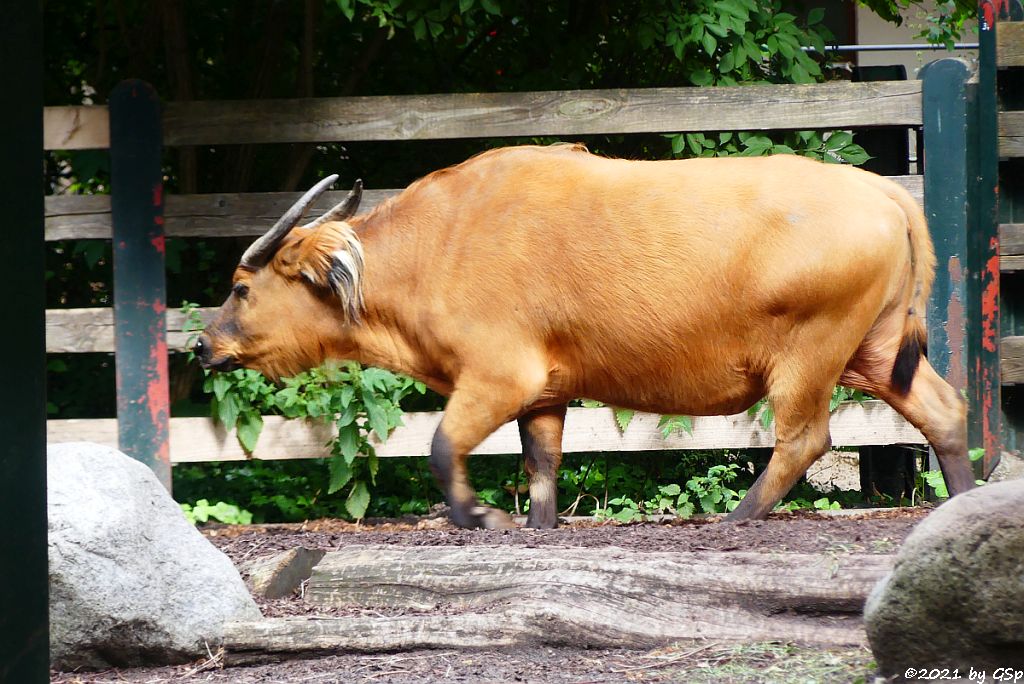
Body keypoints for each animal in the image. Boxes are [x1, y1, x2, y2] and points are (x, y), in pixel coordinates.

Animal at [193, 144, 974, 528]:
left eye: (242, 288)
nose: (204, 344)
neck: (440, 241)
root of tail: (880, 190)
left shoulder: (496, 379)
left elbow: (443, 449)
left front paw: (478, 516)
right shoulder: (544, 393)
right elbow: (542, 467)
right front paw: (537, 526)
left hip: (810, 358)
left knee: (804, 439)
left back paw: (737, 516)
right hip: (877, 353)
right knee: (946, 410)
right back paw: (962, 501)